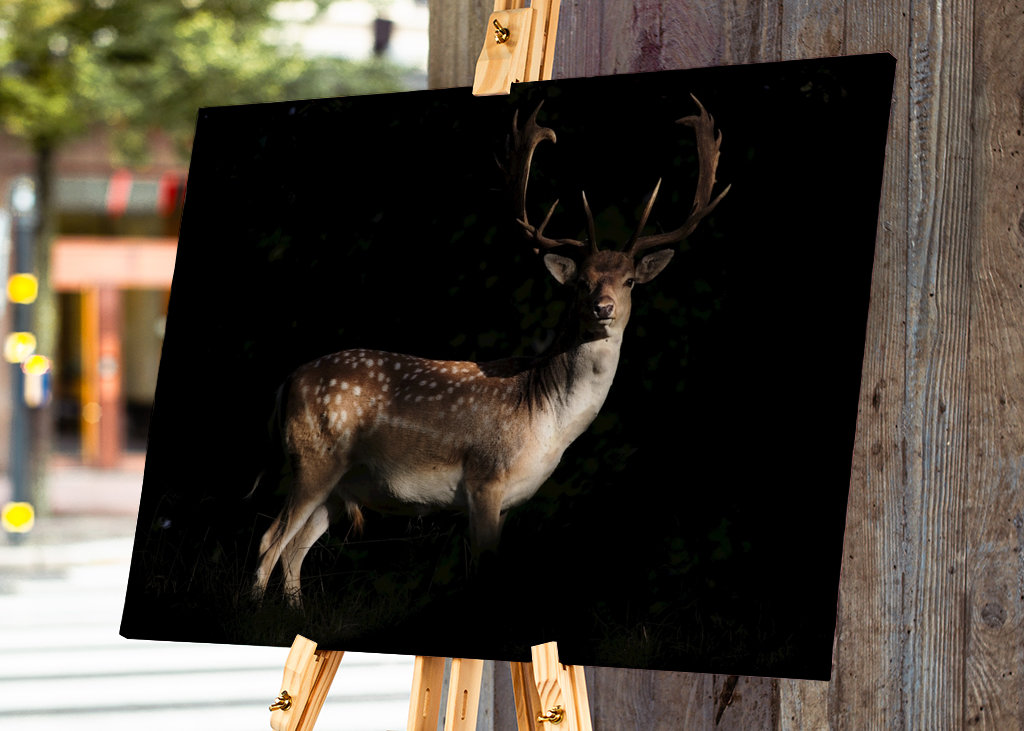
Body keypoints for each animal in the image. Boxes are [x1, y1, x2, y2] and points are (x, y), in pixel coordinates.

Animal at [251, 97, 729, 603]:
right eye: (580, 282)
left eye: (631, 281)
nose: (603, 308)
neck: (546, 423)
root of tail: (287, 382)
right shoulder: (484, 481)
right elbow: (480, 570)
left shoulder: (509, 502)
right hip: (313, 459)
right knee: (270, 539)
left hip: (342, 488)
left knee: (294, 550)